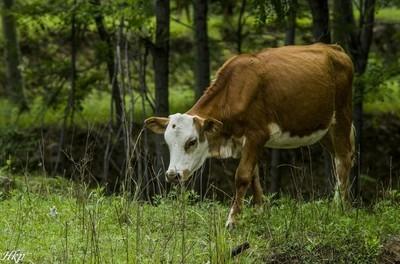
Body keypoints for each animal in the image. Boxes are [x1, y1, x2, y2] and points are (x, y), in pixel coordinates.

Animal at [145, 43, 356, 229]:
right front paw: (259, 213)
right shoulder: (245, 141)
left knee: (343, 160)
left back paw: (342, 208)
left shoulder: (257, 134)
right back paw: (338, 203)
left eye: (192, 141)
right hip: (324, 128)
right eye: (167, 143)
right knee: (337, 159)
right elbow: (254, 176)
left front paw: (233, 220)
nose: (172, 175)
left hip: (342, 116)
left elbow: (243, 175)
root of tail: (334, 48)